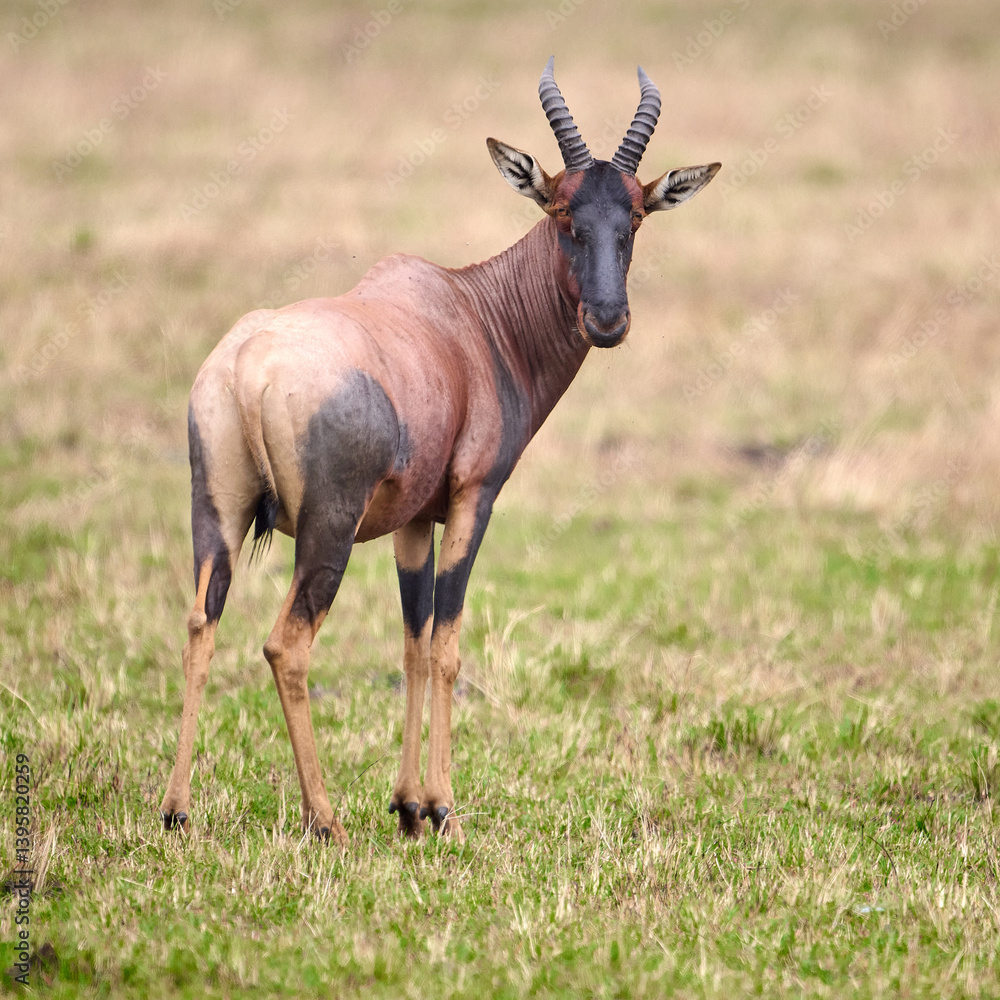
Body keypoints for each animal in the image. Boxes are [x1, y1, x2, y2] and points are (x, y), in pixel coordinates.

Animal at [160, 59, 719, 844]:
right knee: (286, 645)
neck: (471, 314)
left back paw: (177, 809)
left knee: (199, 622)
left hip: (216, 513)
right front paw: (443, 806)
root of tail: (247, 366)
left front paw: (407, 805)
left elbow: (414, 642)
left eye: (635, 215)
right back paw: (324, 820)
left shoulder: (413, 521)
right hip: (329, 531)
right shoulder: (471, 498)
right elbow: (449, 643)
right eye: (562, 214)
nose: (608, 321)